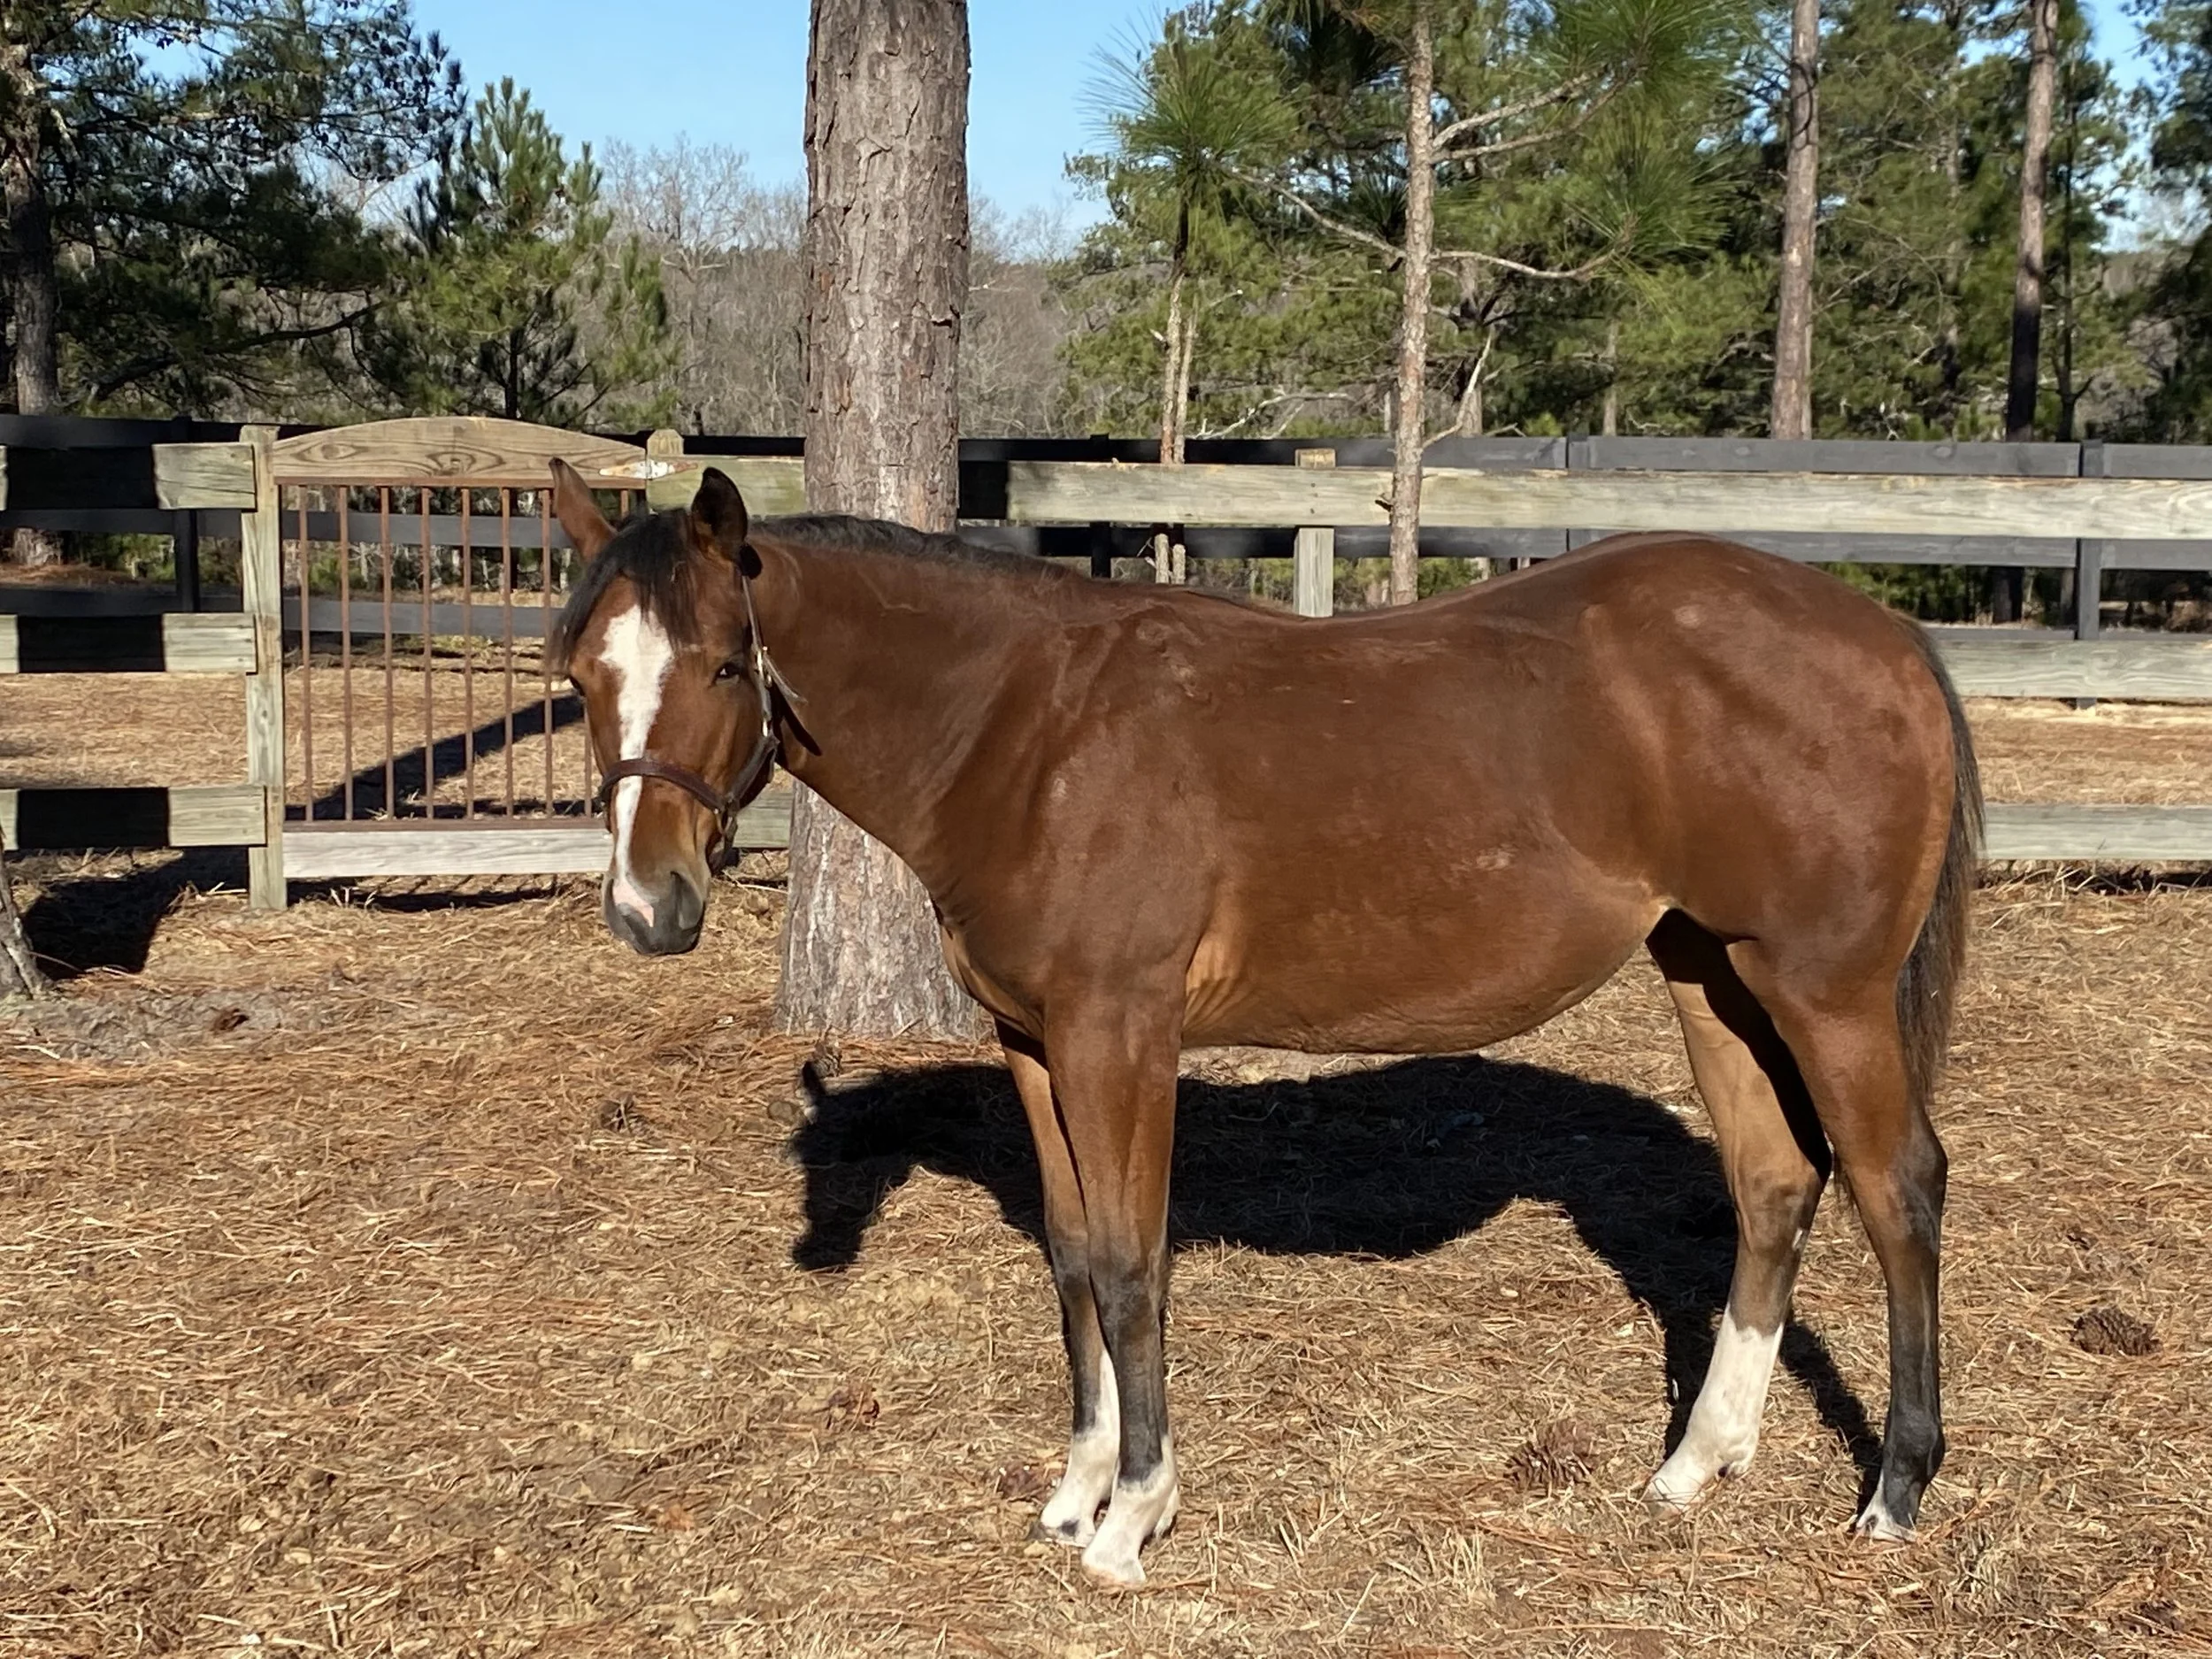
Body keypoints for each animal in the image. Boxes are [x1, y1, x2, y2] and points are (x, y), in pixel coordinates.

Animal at [547, 460, 1980, 1589]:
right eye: (579, 675)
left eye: (724, 663)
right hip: (1710, 970)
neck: (1026, 729)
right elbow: (1073, 1258)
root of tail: (1887, 637)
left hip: (1826, 991)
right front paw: (1076, 1489)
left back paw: (1896, 1488)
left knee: (1897, 1187)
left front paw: (1133, 1518)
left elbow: (1134, 1265)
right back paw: (1696, 1462)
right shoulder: (1034, 1043)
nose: (648, 905)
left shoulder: (1119, 1036)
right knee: (1774, 1181)